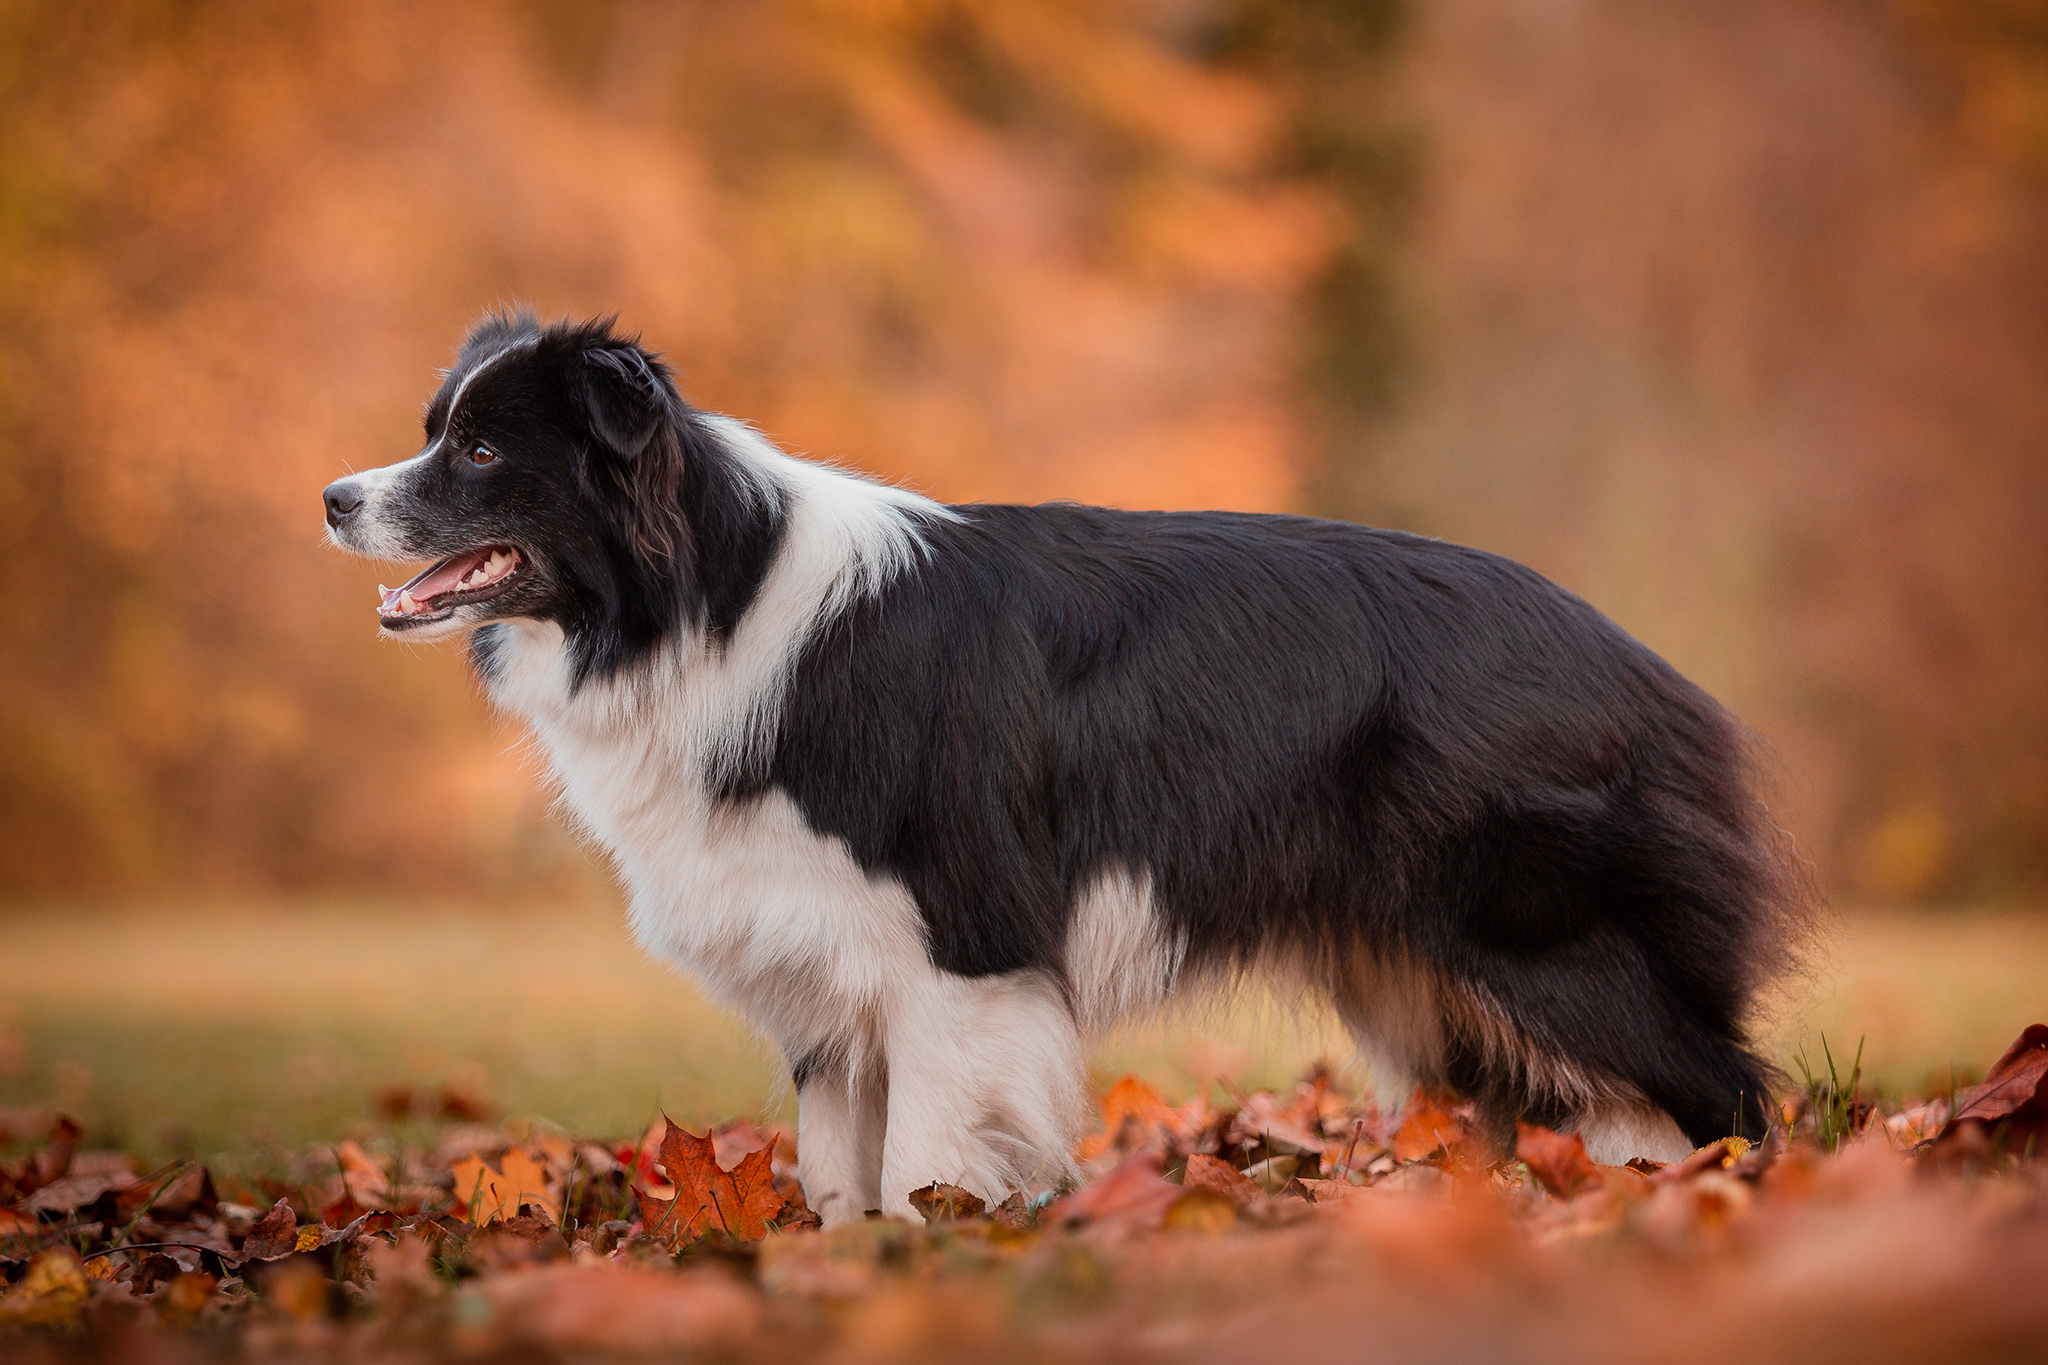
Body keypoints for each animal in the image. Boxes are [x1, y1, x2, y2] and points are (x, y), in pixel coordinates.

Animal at [327, 313, 1818, 1227]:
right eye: (434, 426)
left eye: (480, 447)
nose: (333, 497)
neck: (708, 599)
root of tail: (1644, 663)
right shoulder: (826, 968)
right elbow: (836, 1170)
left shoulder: (959, 950)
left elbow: (926, 1157)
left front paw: (928, 1257)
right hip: (1425, 978)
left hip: (1553, 940)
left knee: (1728, 1087)